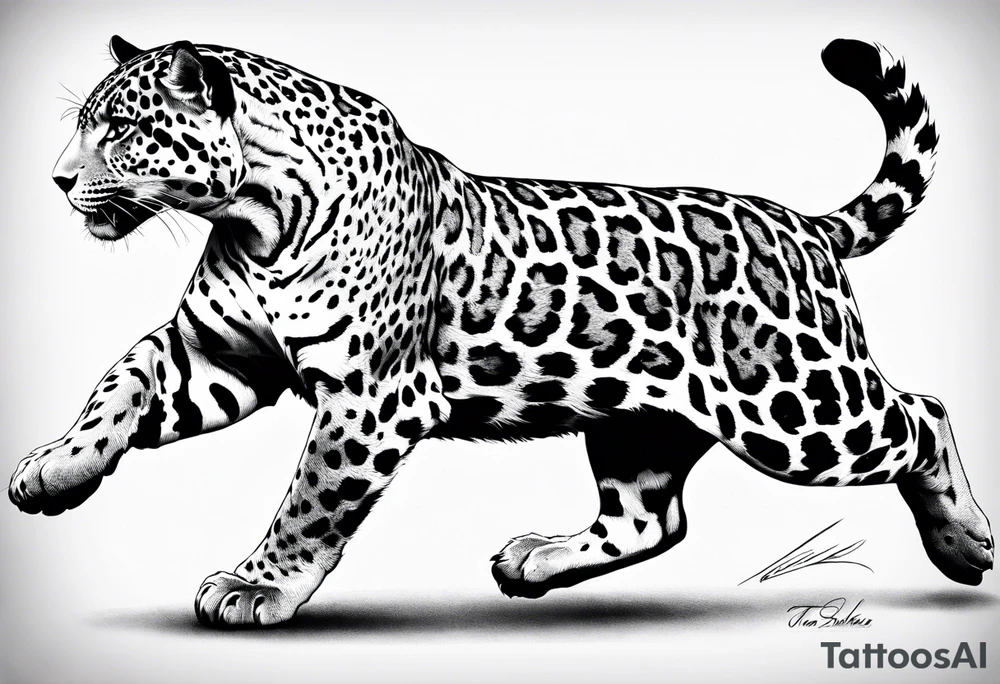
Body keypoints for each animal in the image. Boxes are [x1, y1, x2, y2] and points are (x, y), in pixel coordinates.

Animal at [9, 35, 993, 627]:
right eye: (84, 127)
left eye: (122, 130)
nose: (56, 181)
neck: (257, 218)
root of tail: (803, 225)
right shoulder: (217, 356)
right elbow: (118, 385)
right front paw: (54, 471)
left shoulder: (367, 400)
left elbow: (310, 500)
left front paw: (258, 586)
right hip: (639, 418)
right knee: (650, 518)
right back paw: (535, 562)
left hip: (796, 407)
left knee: (923, 413)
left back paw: (965, 544)